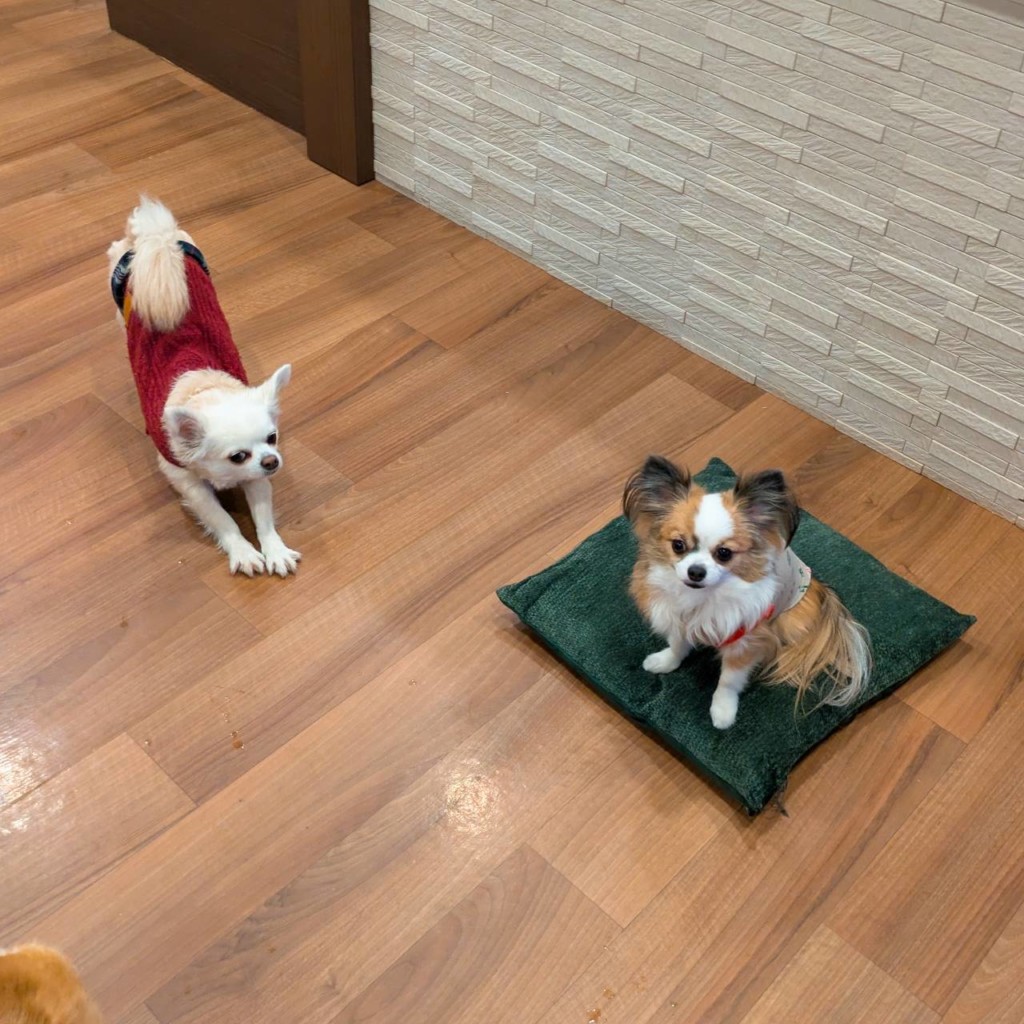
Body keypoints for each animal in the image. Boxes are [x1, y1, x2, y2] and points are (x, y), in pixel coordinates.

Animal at [107, 197, 300, 576]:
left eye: (272, 439)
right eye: (237, 456)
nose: (272, 461)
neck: (202, 387)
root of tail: (153, 236)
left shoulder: (256, 479)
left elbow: (263, 517)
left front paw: (274, 549)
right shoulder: (187, 481)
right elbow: (222, 519)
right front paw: (242, 550)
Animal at [623, 456, 871, 729]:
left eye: (724, 553)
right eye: (678, 545)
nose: (696, 571)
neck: (705, 597)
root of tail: (820, 588)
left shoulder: (745, 640)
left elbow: (728, 681)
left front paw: (723, 712)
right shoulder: (678, 617)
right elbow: (678, 646)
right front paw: (664, 662)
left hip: (790, 620)